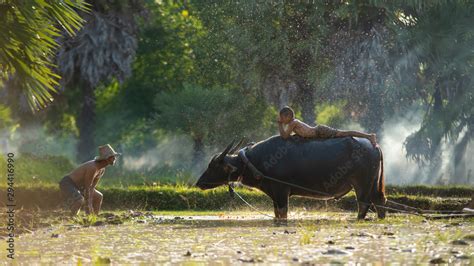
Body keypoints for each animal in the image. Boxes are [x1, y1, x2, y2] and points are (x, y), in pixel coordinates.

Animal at [194, 135, 386, 220]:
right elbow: (277, 213)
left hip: (362, 183)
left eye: (213, 166)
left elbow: (283, 213)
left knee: (364, 204)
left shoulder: (281, 190)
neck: (255, 161)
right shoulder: (274, 193)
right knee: (380, 201)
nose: (199, 183)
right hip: (374, 183)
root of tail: (374, 146)